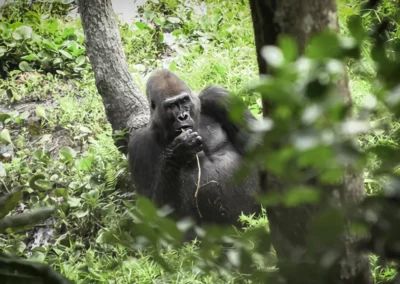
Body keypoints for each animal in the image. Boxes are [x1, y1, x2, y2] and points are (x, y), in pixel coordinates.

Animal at [127, 69, 260, 226]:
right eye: (172, 106)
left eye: (184, 101)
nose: (183, 117)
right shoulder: (138, 145)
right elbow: (156, 213)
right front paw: (178, 151)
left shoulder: (217, 96)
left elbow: (256, 141)